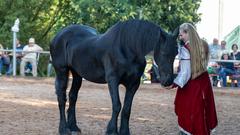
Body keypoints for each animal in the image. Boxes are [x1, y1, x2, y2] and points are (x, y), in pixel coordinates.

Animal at [50, 19, 178, 135]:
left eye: (176, 53)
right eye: (164, 53)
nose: (168, 81)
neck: (127, 48)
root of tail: (58, 36)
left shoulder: (133, 84)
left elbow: (127, 109)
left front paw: (124, 131)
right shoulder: (112, 80)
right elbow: (117, 105)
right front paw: (111, 130)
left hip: (77, 74)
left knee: (73, 96)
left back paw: (73, 127)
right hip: (62, 71)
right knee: (62, 98)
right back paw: (64, 129)